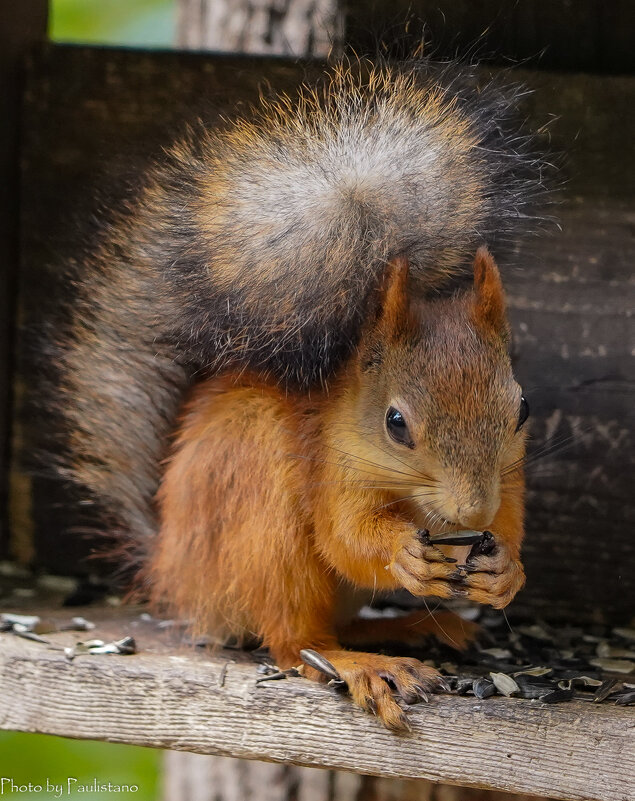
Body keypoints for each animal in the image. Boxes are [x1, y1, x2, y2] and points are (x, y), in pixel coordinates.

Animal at [149, 250, 528, 732]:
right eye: (395, 422)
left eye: (523, 408)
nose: (474, 514)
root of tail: (179, 577)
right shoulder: (333, 465)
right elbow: (343, 539)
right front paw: (402, 552)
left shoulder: (508, 480)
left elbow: (507, 523)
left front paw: (505, 571)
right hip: (261, 514)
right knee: (296, 641)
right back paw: (361, 663)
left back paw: (411, 628)